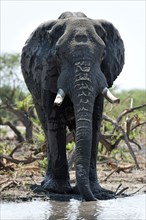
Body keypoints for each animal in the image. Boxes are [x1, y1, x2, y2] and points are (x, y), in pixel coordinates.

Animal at [21, 11, 125, 201]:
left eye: (103, 54)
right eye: (58, 55)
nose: (94, 200)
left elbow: (94, 122)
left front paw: (95, 190)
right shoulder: (47, 72)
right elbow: (55, 121)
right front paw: (59, 190)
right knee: (47, 127)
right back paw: (47, 185)